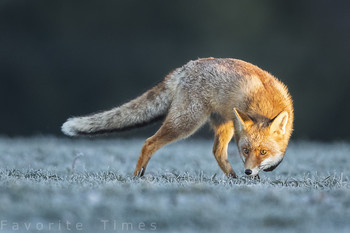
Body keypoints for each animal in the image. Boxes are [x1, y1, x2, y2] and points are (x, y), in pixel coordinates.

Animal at [62, 57, 292, 177]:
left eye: (263, 151)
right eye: (245, 150)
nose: (247, 172)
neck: (265, 104)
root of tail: (185, 67)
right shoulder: (238, 132)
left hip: (223, 124)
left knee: (217, 152)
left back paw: (232, 177)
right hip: (186, 123)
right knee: (149, 142)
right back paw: (137, 175)